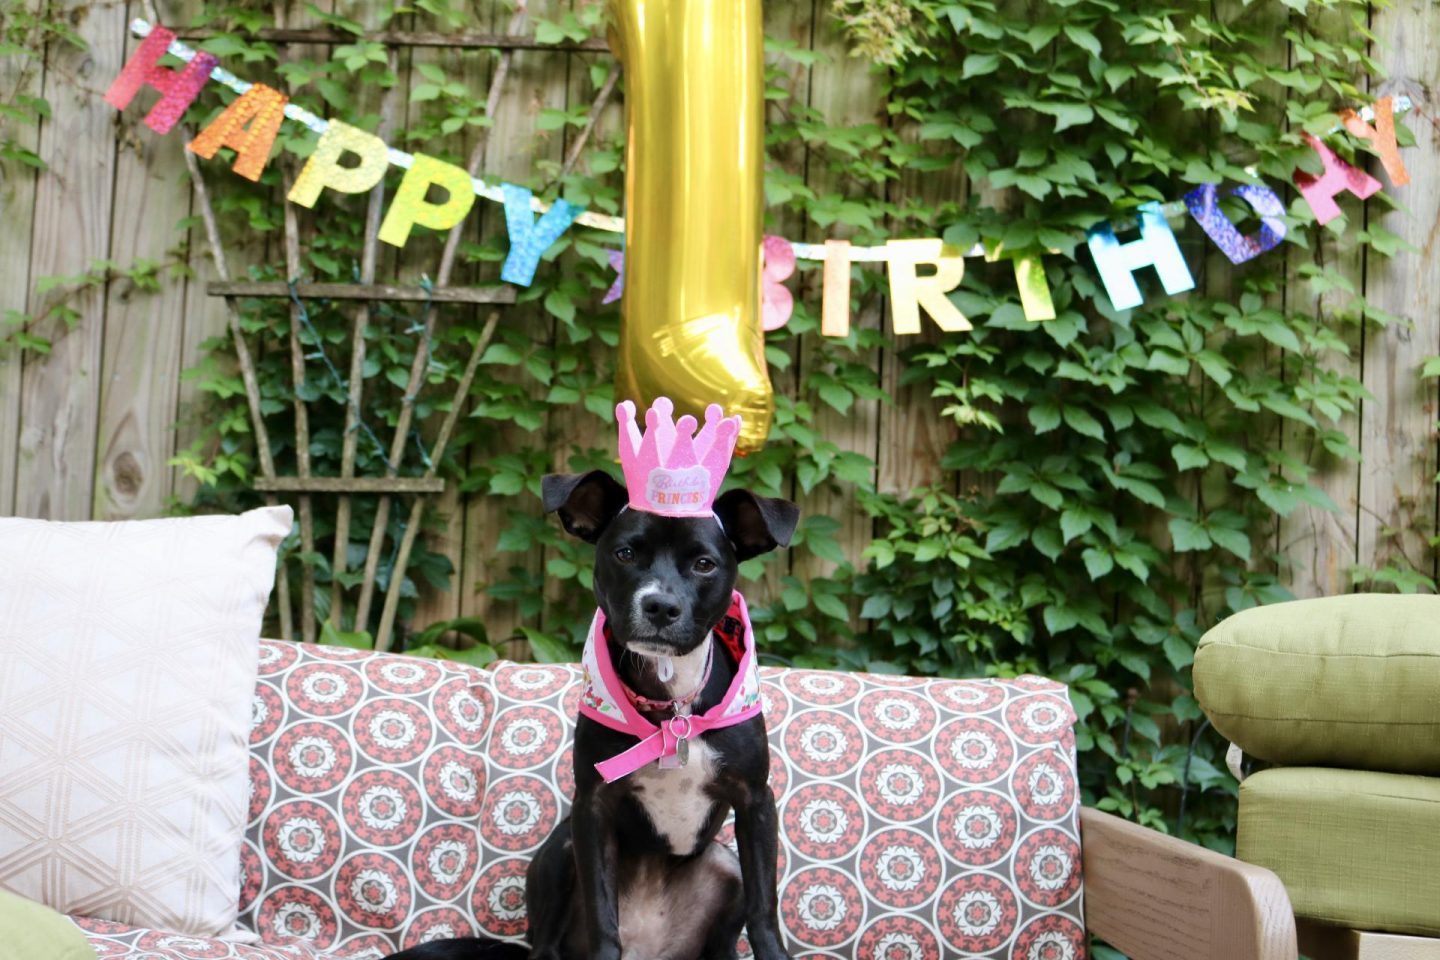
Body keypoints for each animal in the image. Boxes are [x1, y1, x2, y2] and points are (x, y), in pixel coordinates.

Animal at [388, 472, 800, 960]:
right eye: (625, 554)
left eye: (704, 564)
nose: (660, 606)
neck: (672, 710)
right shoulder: (593, 807)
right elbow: (604, 915)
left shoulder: (755, 801)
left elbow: (764, 906)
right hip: (563, 850)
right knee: (547, 945)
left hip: (724, 864)